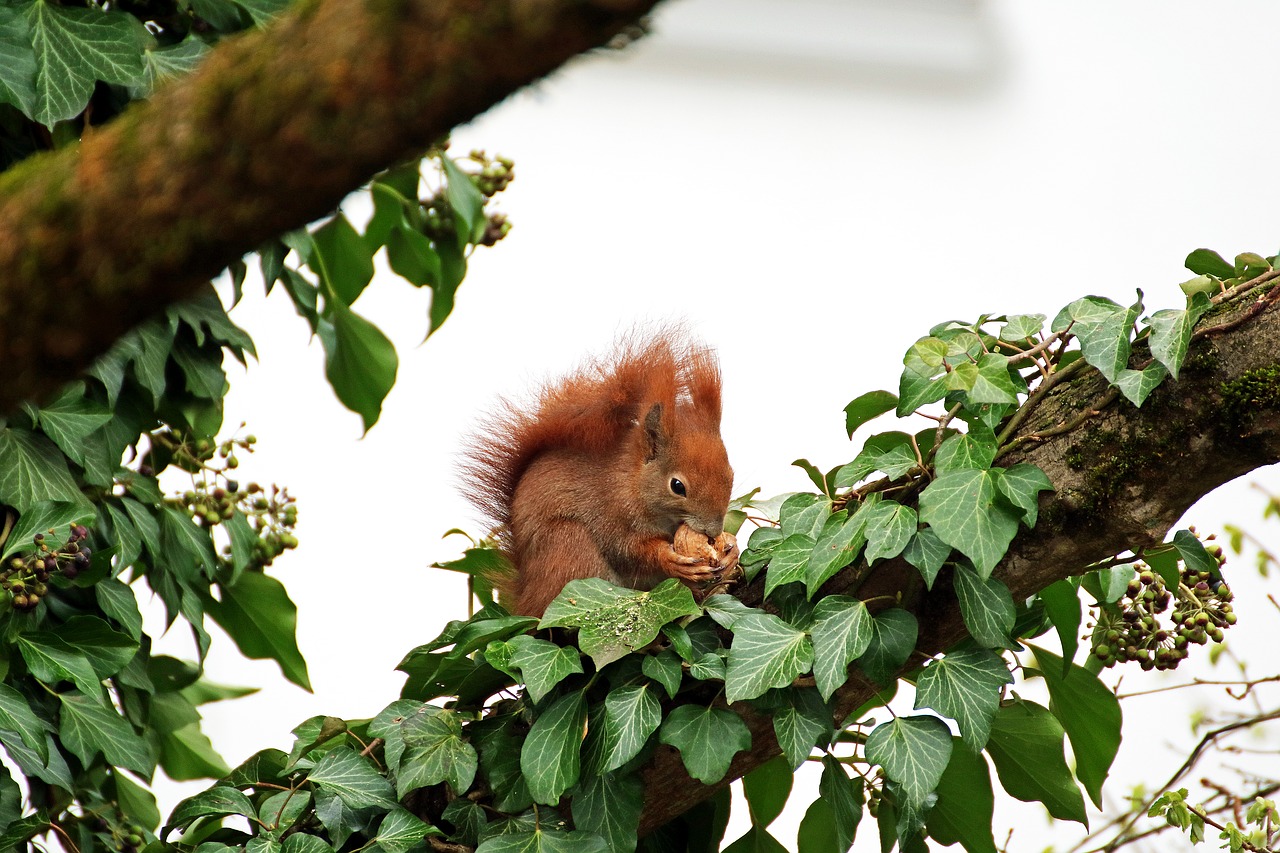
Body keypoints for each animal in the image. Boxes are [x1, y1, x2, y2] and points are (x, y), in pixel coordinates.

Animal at [463, 327, 742, 614]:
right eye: (677, 486)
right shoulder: (612, 514)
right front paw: (670, 559)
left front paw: (731, 550)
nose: (713, 531)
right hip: (569, 548)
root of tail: (526, 597)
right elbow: (630, 551)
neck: (632, 482)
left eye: (731, 475)